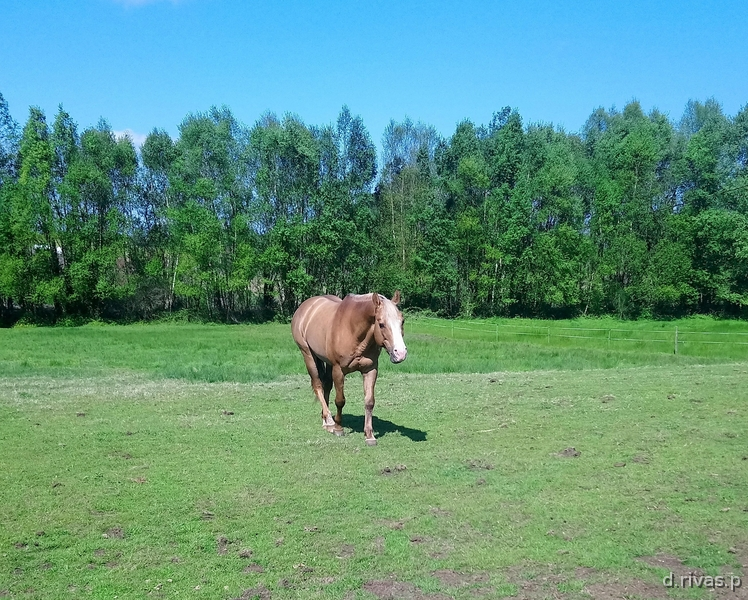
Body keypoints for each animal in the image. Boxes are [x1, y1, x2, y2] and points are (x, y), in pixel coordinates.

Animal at [291, 291, 407, 446]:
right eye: (381, 324)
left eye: (402, 321)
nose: (400, 353)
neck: (353, 331)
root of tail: (306, 306)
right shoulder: (339, 370)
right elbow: (340, 400)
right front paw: (338, 428)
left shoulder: (370, 370)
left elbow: (369, 402)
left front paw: (369, 435)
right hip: (308, 354)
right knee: (318, 385)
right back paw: (329, 421)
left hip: (327, 362)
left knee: (326, 385)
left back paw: (325, 420)